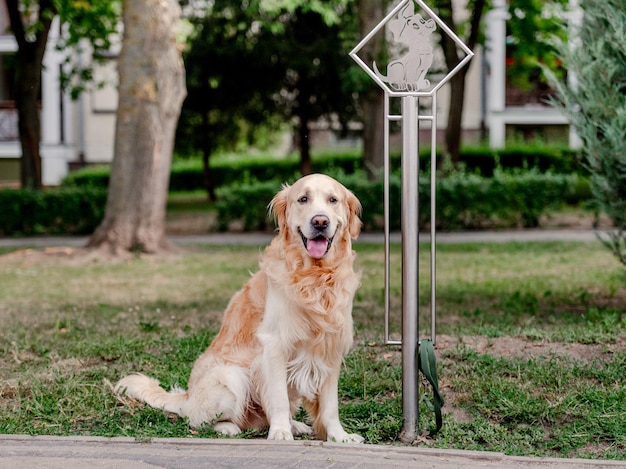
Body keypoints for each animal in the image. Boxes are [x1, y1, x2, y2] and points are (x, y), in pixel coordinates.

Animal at [114, 174, 364, 440]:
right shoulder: (274, 345)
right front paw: (280, 433)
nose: (320, 221)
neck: (315, 279)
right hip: (231, 377)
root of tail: (188, 397)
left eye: (333, 200)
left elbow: (330, 405)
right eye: (303, 199)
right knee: (199, 421)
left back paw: (295, 425)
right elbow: (278, 399)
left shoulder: (331, 347)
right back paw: (229, 427)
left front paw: (340, 436)